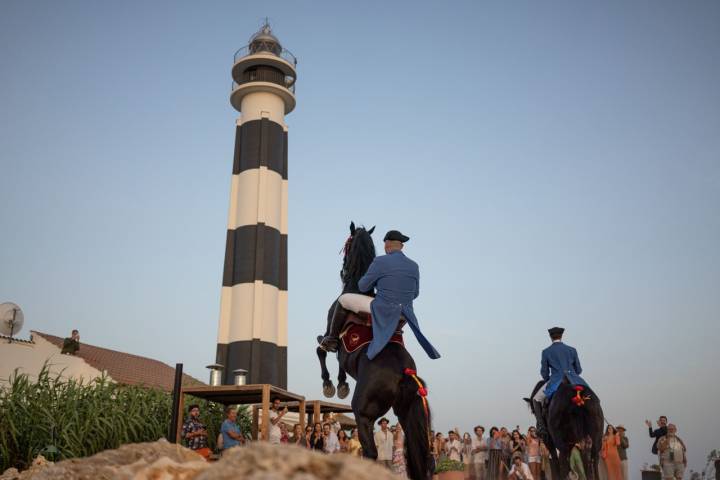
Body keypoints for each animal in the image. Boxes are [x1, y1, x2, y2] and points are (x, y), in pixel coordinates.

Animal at [316, 224, 434, 480]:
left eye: (348, 244)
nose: (342, 271)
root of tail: (404, 372)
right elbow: (338, 362)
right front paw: (341, 384)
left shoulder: (331, 334)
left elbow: (321, 349)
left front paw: (330, 385)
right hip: (406, 414)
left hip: (363, 414)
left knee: (370, 453)